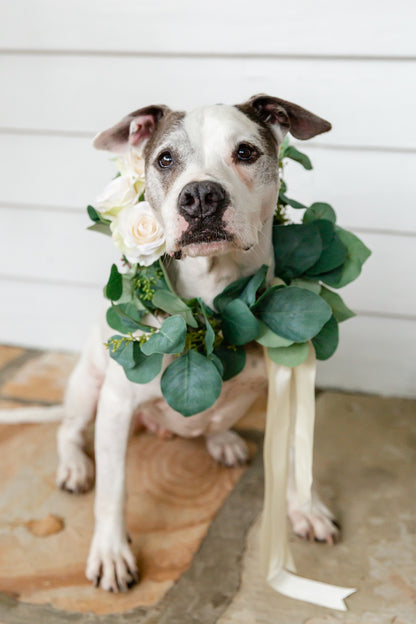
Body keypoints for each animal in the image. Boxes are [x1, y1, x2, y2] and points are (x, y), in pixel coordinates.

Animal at [56, 95, 338, 592]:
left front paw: (306, 508)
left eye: (245, 152)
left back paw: (222, 439)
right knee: (68, 430)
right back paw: (73, 465)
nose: (202, 195)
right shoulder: (116, 406)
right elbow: (113, 490)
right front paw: (111, 552)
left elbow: (292, 451)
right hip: (88, 382)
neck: (215, 297)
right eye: (166, 159)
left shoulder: (288, 384)